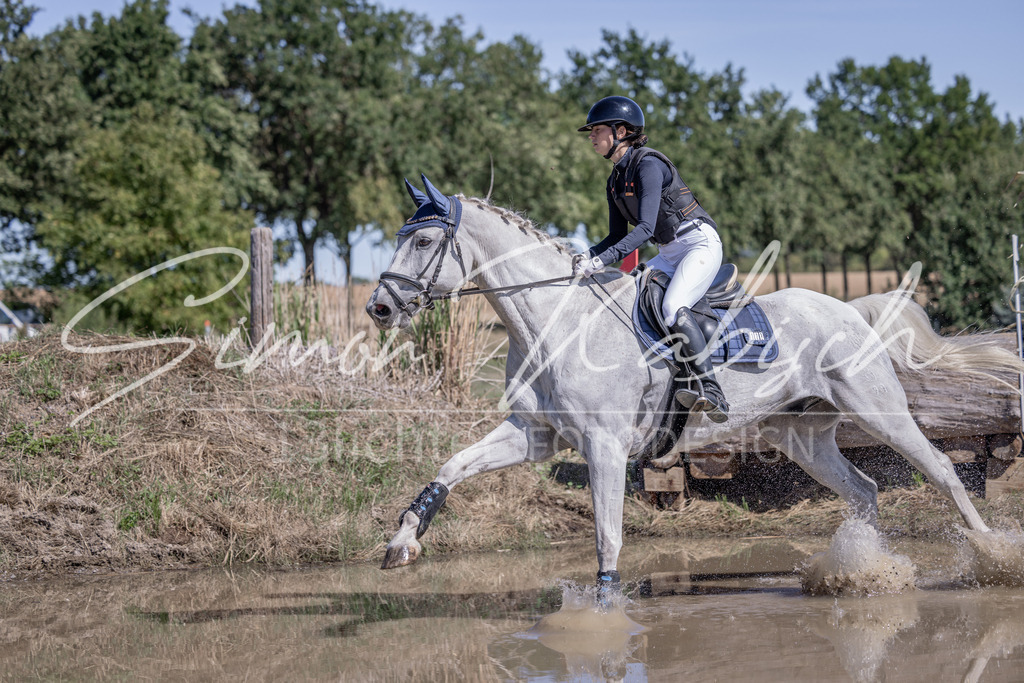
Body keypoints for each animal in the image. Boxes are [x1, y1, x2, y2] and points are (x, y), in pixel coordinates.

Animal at [365, 175, 1024, 585]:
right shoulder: (536, 435)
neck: (556, 321)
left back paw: (992, 556)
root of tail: (850, 308)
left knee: (940, 471)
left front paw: (605, 605)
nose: (379, 307)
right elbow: (452, 465)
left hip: (879, 409)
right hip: (802, 435)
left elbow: (608, 539)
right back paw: (858, 570)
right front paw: (403, 541)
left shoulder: (605, 447)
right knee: (862, 491)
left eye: (424, 240)